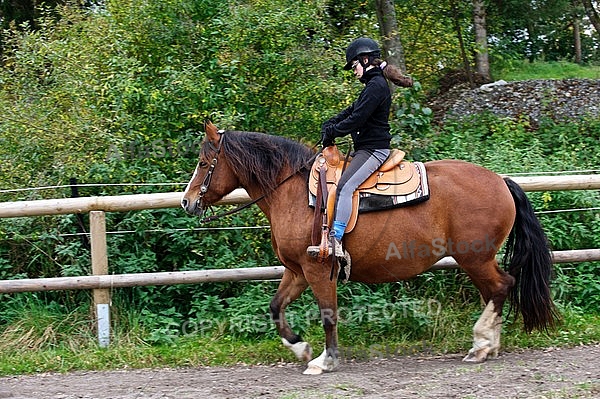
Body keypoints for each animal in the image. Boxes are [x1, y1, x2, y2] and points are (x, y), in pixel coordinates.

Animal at [180, 121, 556, 376]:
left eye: (203, 163)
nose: (186, 202)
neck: (295, 192)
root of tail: (500, 181)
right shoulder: (297, 271)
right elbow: (276, 307)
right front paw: (301, 348)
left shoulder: (318, 270)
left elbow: (328, 314)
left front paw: (325, 360)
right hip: (476, 260)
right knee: (495, 290)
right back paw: (488, 345)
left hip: (474, 258)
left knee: (501, 286)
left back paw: (481, 345)